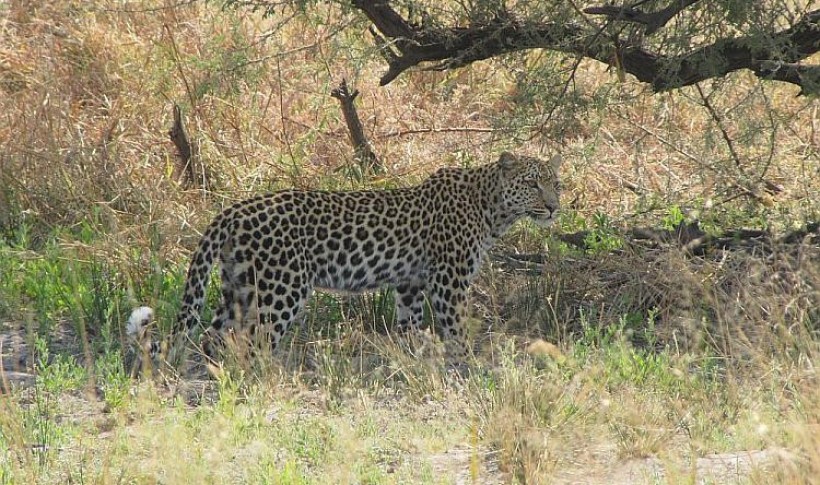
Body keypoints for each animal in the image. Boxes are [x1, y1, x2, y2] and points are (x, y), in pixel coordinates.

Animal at [130, 153, 564, 362]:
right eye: (532, 184)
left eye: (556, 183)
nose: (555, 207)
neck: (493, 209)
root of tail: (232, 211)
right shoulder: (448, 280)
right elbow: (456, 328)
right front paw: (465, 367)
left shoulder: (409, 284)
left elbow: (410, 327)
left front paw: (415, 362)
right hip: (282, 289)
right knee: (256, 344)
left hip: (238, 288)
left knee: (214, 338)